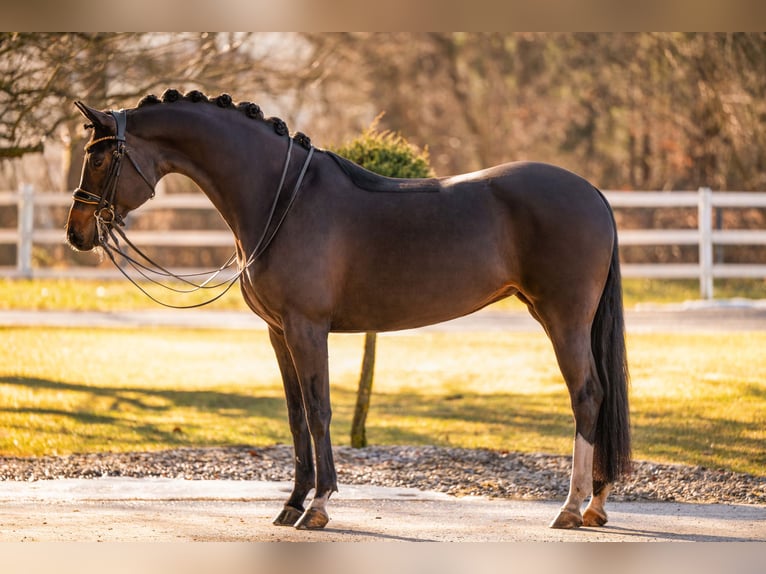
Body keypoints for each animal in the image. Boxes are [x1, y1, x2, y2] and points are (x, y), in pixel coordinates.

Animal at [65, 89, 630, 531]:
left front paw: (318, 506)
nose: (77, 233)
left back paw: (571, 507)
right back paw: (597, 505)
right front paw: (292, 504)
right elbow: (296, 416)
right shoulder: (279, 333)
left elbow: (319, 411)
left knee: (587, 395)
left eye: (99, 158)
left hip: (563, 317)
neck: (280, 199)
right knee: (599, 394)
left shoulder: (307, 329)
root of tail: (592, 192)